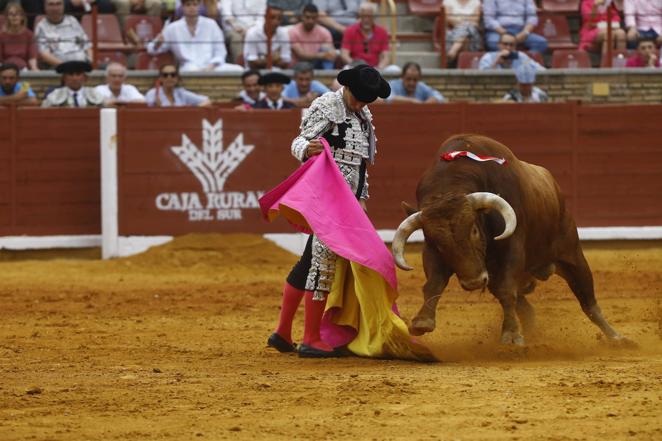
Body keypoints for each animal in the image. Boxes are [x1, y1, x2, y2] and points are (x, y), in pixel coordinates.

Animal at [396, 132, 632, 346]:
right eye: (437, 241)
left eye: (474, 230)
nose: (474, 283)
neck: (450, 183)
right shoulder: (434, 251)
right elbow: (434, 283)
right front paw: (422, 322)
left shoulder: (512, 248)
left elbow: (507, 289)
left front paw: (510, 336)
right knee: (524, 304)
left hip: (571, 254)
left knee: (588, 301)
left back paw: (618, 338)